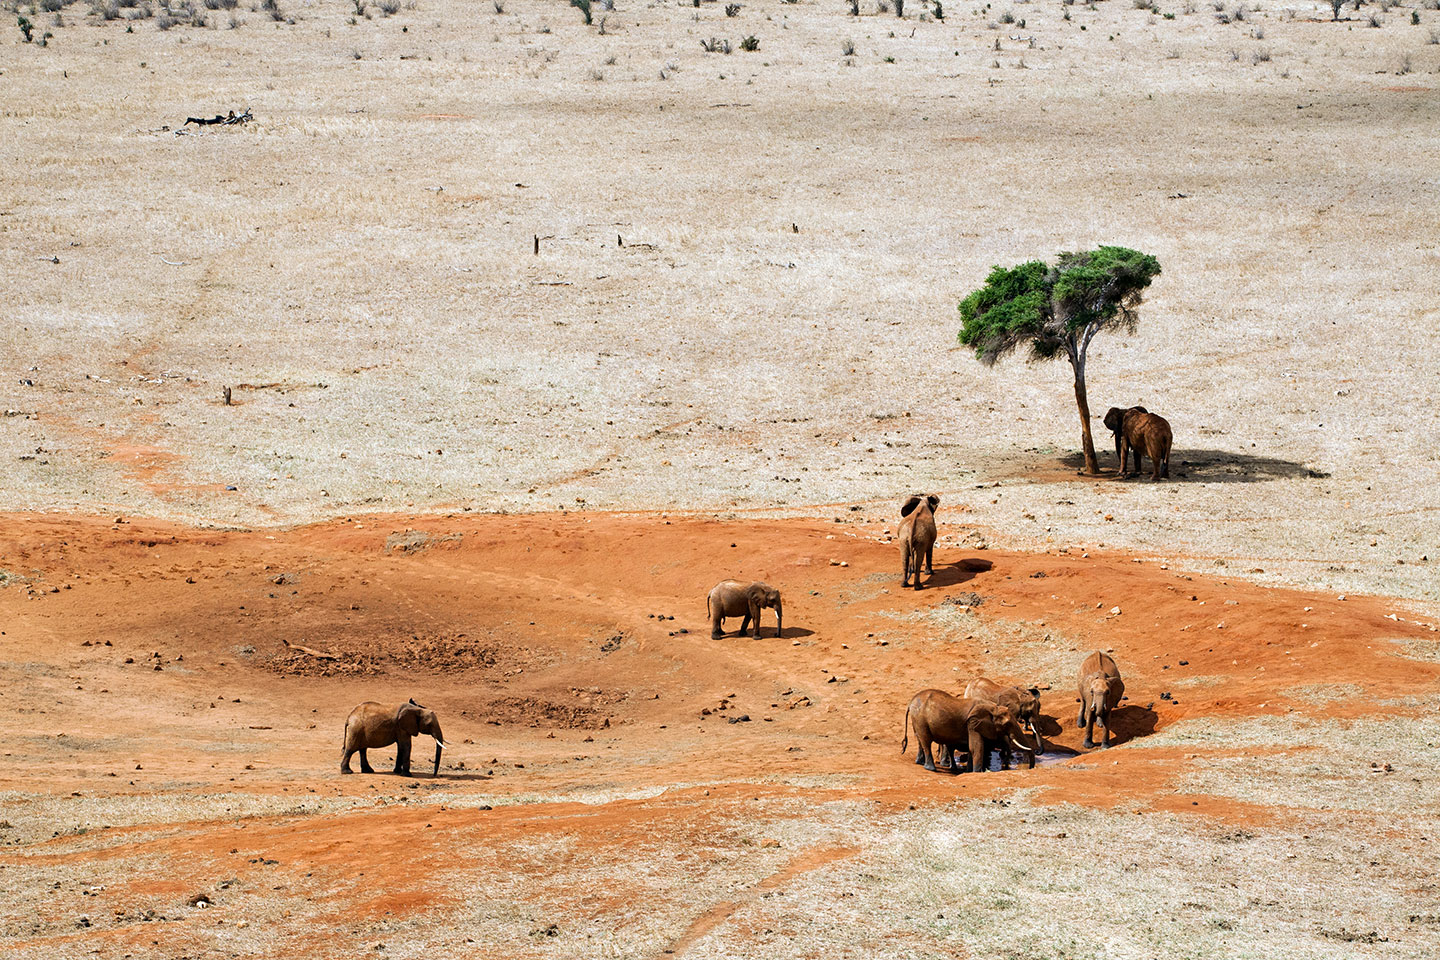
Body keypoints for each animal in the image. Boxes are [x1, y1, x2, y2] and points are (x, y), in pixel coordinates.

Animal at [900, 689, 1033, 774]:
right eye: (1007, 724)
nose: (1030, 768)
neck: (993, 708)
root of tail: (910, 703)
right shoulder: (972, 723)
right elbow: (976, 747)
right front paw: (977, 772)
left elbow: (972, 748)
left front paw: (970, 771)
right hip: (920, 719)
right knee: (926, 741)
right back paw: (931, 768)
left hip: (917, 719)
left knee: (920, 740)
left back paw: (920, 763)